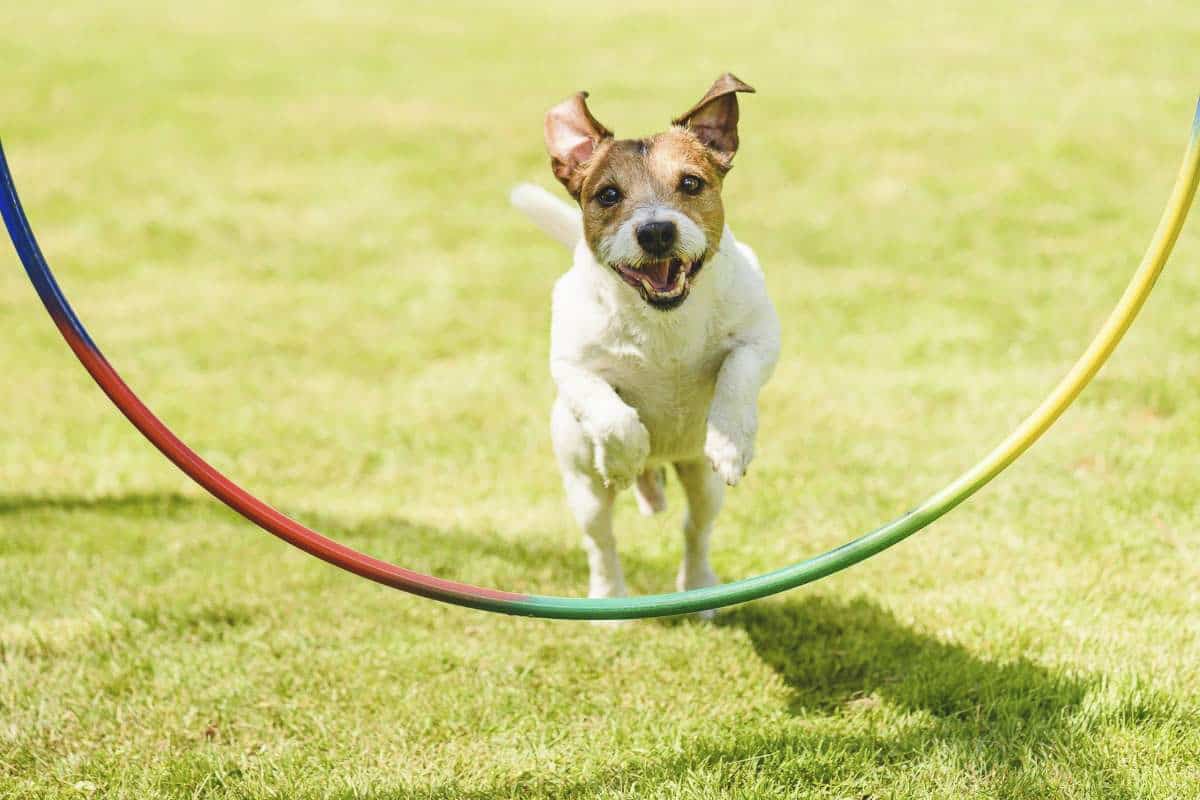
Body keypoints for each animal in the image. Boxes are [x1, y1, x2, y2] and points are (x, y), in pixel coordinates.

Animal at [508, 74, 777, 614]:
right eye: (608, 194)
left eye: (691, 183)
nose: (655, 231)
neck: (663, 321)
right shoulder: (572, 367)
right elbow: (611, 415)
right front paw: (624, 456)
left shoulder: (761, 338)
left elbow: (737, 375)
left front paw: (731, 441)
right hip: (583, 490)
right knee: (602, 543)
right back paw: (609, 599)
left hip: (703, 483)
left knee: (695, 529)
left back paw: (700, 588)